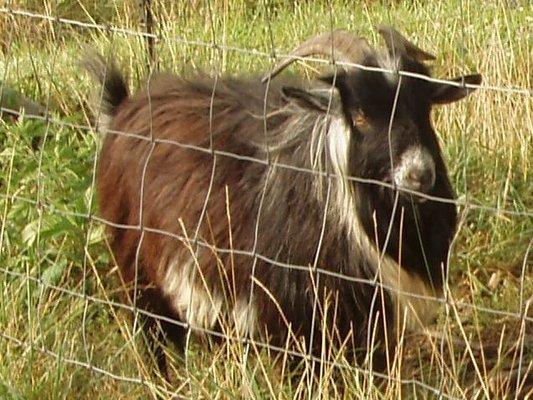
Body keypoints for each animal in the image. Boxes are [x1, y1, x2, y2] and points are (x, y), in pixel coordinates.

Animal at [86, 25, 478, 376]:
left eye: (425, 109)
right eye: (360, 116)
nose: (419, 174)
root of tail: (124, 107)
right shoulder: (291, 311)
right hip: (138, 267)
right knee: (154, 335)